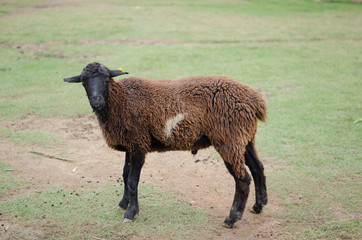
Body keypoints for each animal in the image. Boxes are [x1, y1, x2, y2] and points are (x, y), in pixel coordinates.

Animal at [63, 61, 268, 228]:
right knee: (257, 168)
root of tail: (255, 101)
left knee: (243, 179)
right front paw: (123, 203)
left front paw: (131, 212)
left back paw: (232, 219)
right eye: (83, 81)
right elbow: (125, 174)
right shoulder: (130, 144)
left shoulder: (139, 144)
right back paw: (259, 205)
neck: (121, 101)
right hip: (244, 138)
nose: (96, 100)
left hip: (228, 139)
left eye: (106, 78)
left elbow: (132, 180)